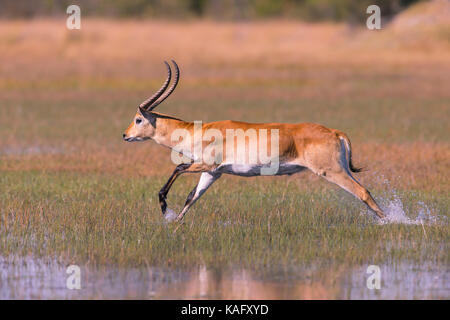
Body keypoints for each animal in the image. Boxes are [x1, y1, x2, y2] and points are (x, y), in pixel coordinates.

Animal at [123, 60, 386, 221]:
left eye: (138, 119)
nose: (125, 135)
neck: (196, 131)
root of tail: (334, 131)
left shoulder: (205, 164)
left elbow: (177, 168)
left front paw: (165, 209)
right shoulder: (213, 173)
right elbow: (192, 197)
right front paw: (174, 223)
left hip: (331, 171)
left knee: (362, 192)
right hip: (341, 169)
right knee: (365, 192)